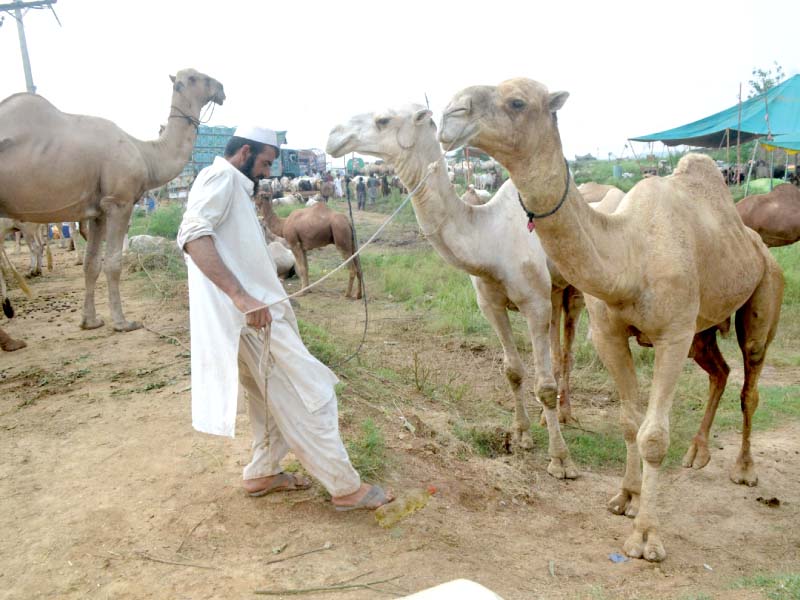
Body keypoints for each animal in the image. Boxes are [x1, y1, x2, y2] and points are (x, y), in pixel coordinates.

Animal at [0, 71, 225, 332]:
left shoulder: (98, 211)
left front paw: (90, 321)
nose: (222, 89)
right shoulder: (119, 202)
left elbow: (91, 264)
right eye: (200, 78)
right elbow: (113, 263)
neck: (144, 153)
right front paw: (122, 322)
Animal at [324, 104, 576, 478]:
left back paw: (568, 416)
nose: (333, 136)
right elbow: (513, 370)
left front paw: (560, 460)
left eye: (383, 120)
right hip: (557, 290)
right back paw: (554, 419)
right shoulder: (490, 303)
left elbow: (543, 385)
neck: (489, 237)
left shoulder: (534, 303)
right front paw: (521, 435)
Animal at [438, 77, 780, 560]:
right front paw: (626, 498)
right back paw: (697, 454)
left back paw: (745, 470)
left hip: (763, 290)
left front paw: (645, 537)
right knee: (720, 370)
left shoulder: (672, 336)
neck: (629, 255)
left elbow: (653, 436)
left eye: (517, 102)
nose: (450, 115)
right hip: (703, 330)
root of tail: (756, 242)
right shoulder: (608, 334)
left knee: (750, 381)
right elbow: (629, 422)